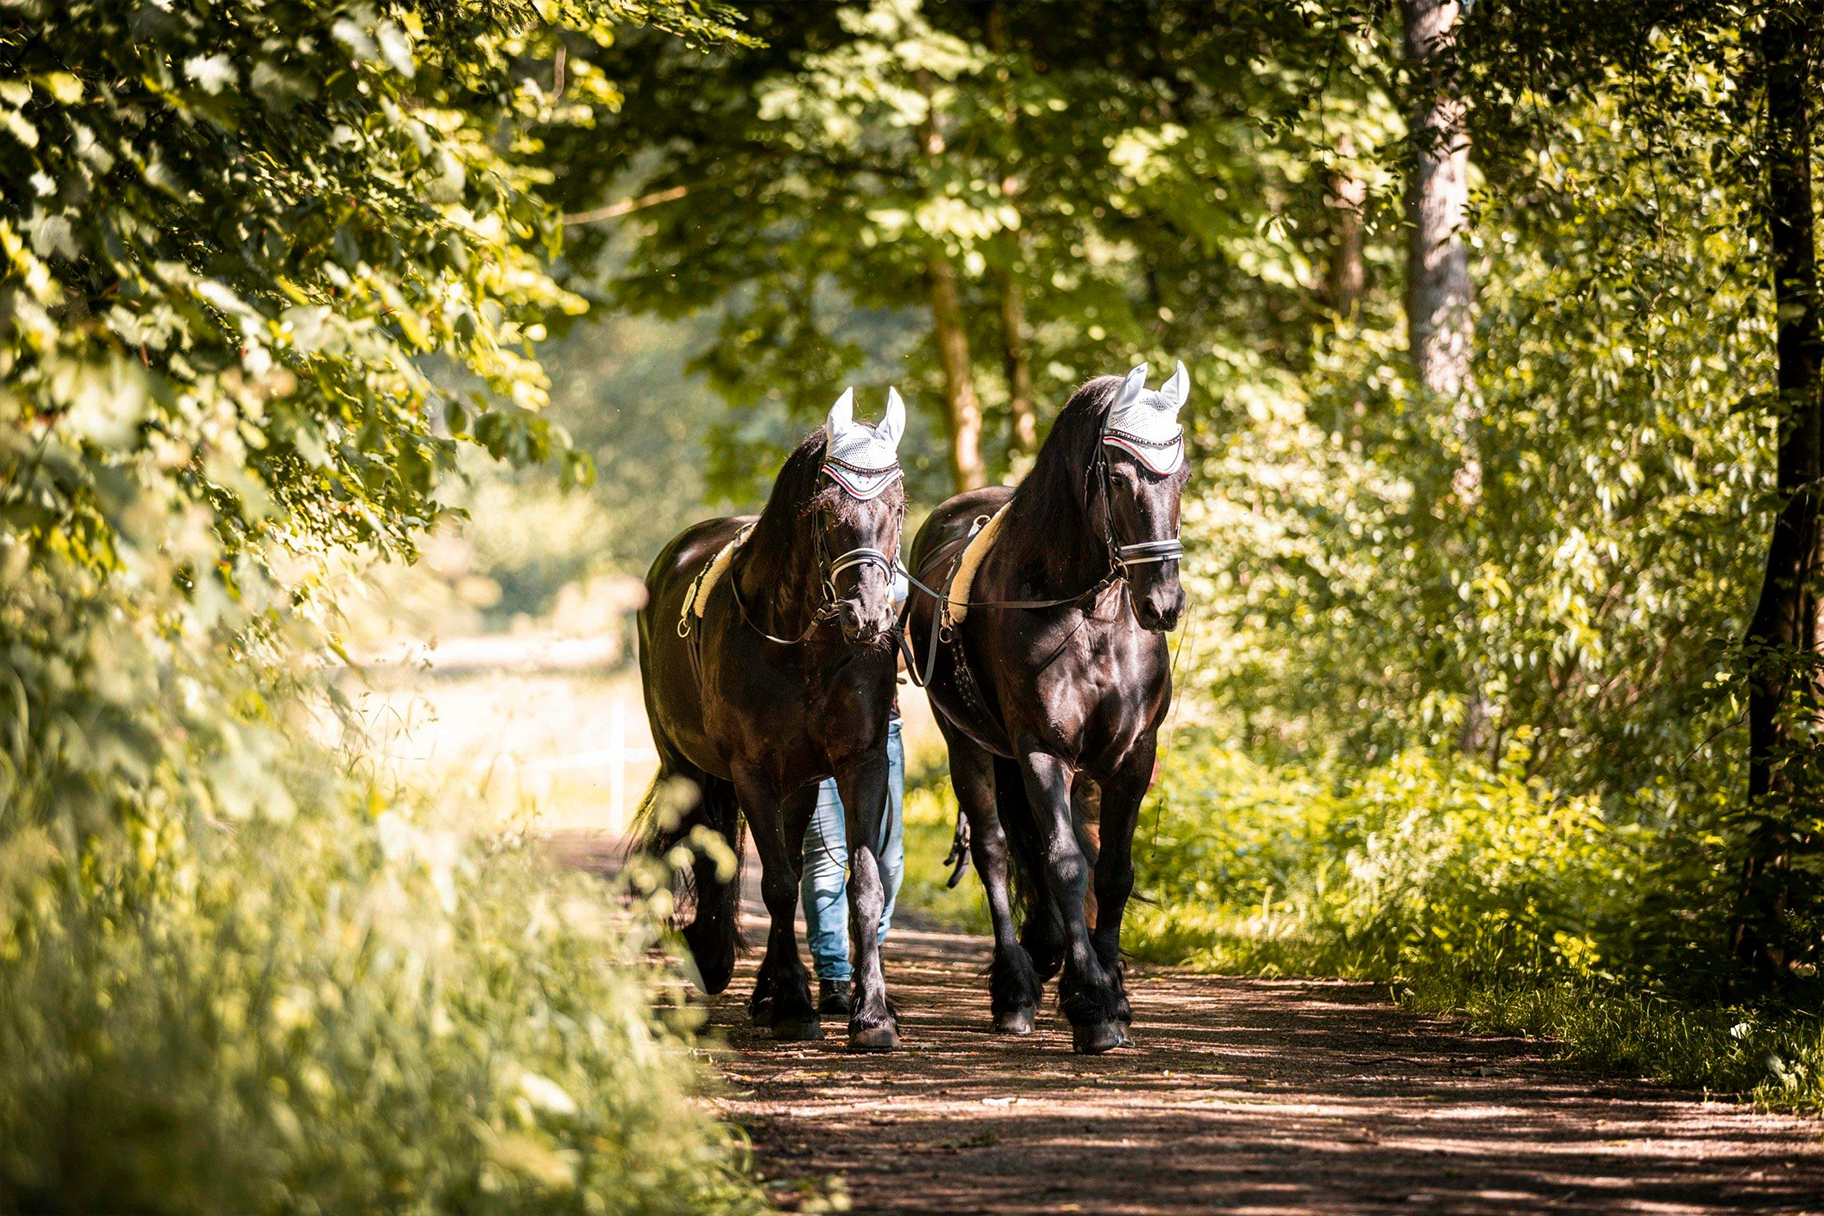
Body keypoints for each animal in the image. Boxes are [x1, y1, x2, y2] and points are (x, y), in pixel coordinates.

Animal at [634, 390, 912, 1050]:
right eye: (826, 509)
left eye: (896, 504)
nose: (868, 615)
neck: (804, 647)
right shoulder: (752, 772)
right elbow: (779, 884)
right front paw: (793, 1006)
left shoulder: (859, 763)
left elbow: (862, 885)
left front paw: (872, 1015)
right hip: (684, 762)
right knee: (707, 842)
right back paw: (722, 965)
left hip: (801, 782)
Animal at [904, 364, 1189, 1057]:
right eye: (1119, 477)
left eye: (1183, 474)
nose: (1164, 603)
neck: (1087, 614)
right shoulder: (1041, 749)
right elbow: (1063, 865)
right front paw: (1093, 1005)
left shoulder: (1131, 755)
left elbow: (1111, 870)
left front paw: (1114, 990)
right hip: (969, 745)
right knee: (995, 849)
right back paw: (1015, 989)